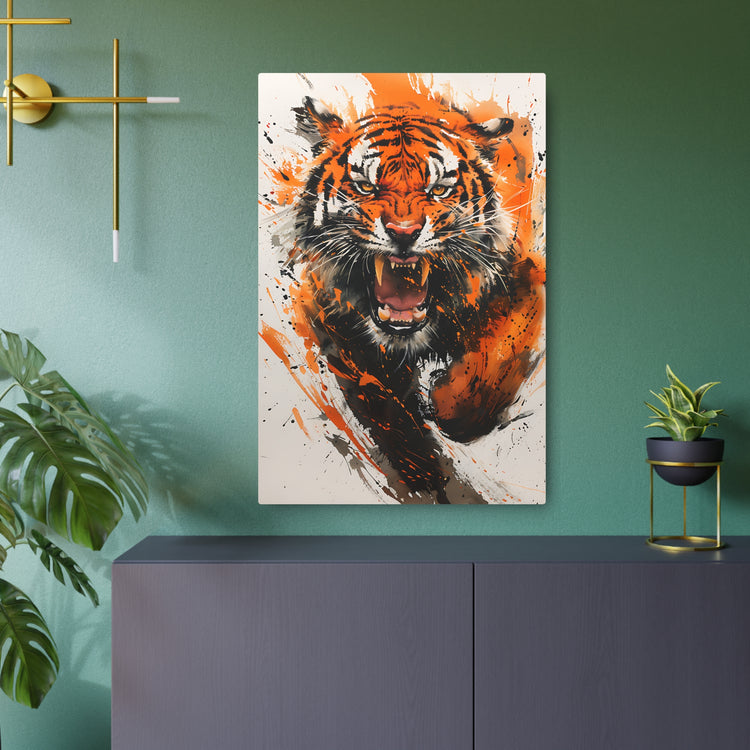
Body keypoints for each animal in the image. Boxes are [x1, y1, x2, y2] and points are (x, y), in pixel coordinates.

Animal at [276, 95, 544, 504]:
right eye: (366, 186)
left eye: (439, 189)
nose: (404, 233)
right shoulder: (329, 318)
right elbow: (386, 406)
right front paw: (420, 471)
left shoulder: (527, 276)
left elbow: (499, 352)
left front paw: (449, 404)